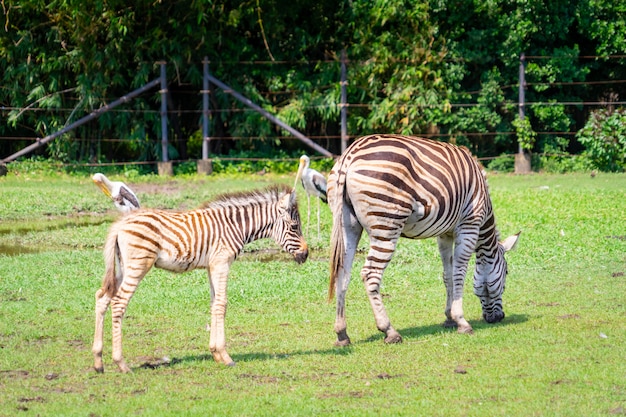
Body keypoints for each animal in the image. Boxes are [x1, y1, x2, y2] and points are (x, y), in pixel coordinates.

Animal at [92, 184, 308, 372]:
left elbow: (214, 304)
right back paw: (121, 364)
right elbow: (222, 304)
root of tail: (121, 223)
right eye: (294, 226)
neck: (235, 226)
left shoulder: (212, 266)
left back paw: (98, 361)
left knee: (102, 297)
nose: (306, 255)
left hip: (122, 266)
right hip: (138, 265)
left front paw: (215, 353)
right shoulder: (222, 263)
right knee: (119, 302)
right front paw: (225, 357)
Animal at [326, 135, 516, 346]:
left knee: (342, 273)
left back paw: (342, 333)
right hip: (387, 225)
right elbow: (459, 273)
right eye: (507, 273)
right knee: (370, 274)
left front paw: (449, 318)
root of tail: (350, 154)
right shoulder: (469, 225)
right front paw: (461, 321)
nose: (499, 318)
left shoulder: (445, 234)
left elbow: (447, 274)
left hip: (347, 225)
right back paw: (389, 331)